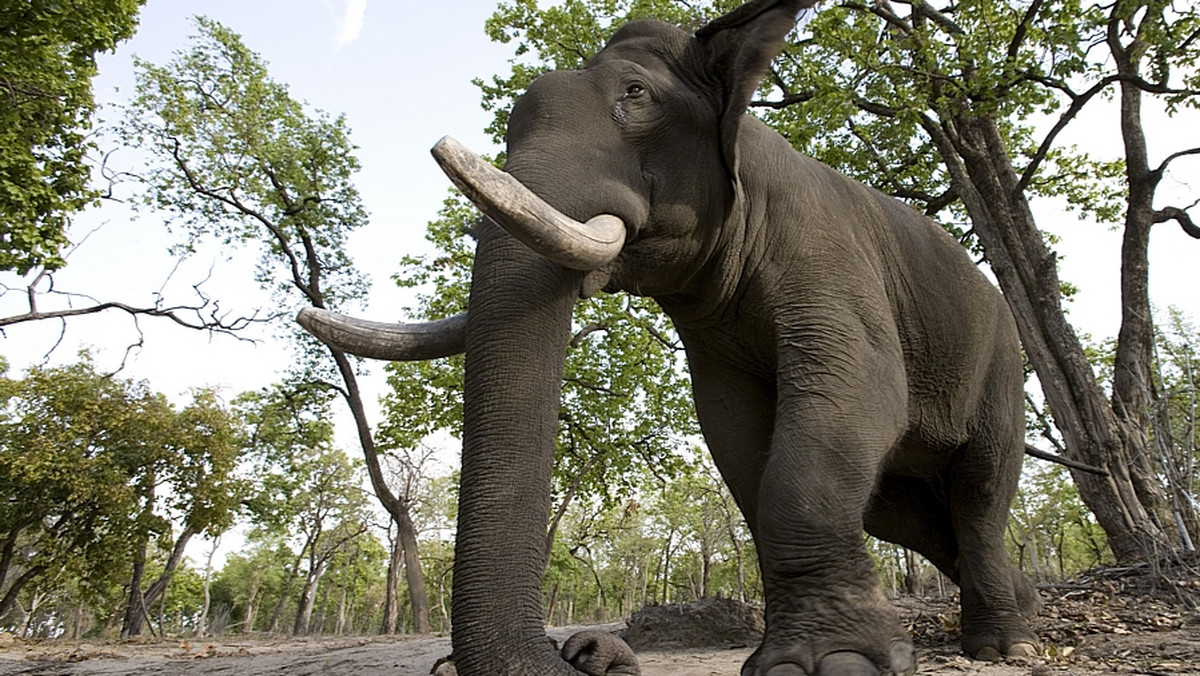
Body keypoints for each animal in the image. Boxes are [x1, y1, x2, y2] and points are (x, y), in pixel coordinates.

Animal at [300, 1, 1041, 676]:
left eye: (636, 94)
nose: (586, 653)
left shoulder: (828, 259)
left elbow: (859, 396)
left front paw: (829, 665)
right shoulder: (713, 332)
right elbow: (735, 434)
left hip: (1003, 366)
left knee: (979, 489)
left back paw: (1006, 645)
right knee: (904, 514)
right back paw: (1024, 604)